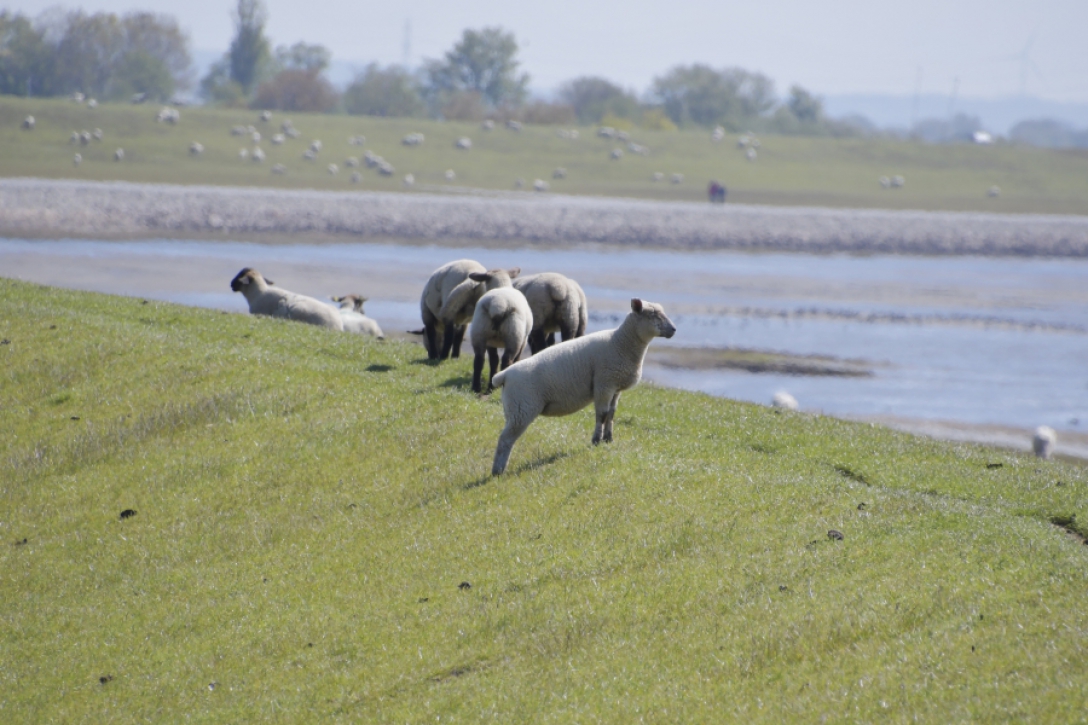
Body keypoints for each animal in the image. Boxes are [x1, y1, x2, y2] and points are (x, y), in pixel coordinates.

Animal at [491, 296, 674, 474]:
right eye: (653, 314)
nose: (673, 330)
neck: (620, 343)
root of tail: (504, 375)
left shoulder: (615, 387)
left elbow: (612, 414)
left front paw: (608, 439)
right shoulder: (604, 384)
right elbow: (602, 414)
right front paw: (596, 440)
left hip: (515, 409)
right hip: (522, 408)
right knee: (505, 439)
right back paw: (498, 471)